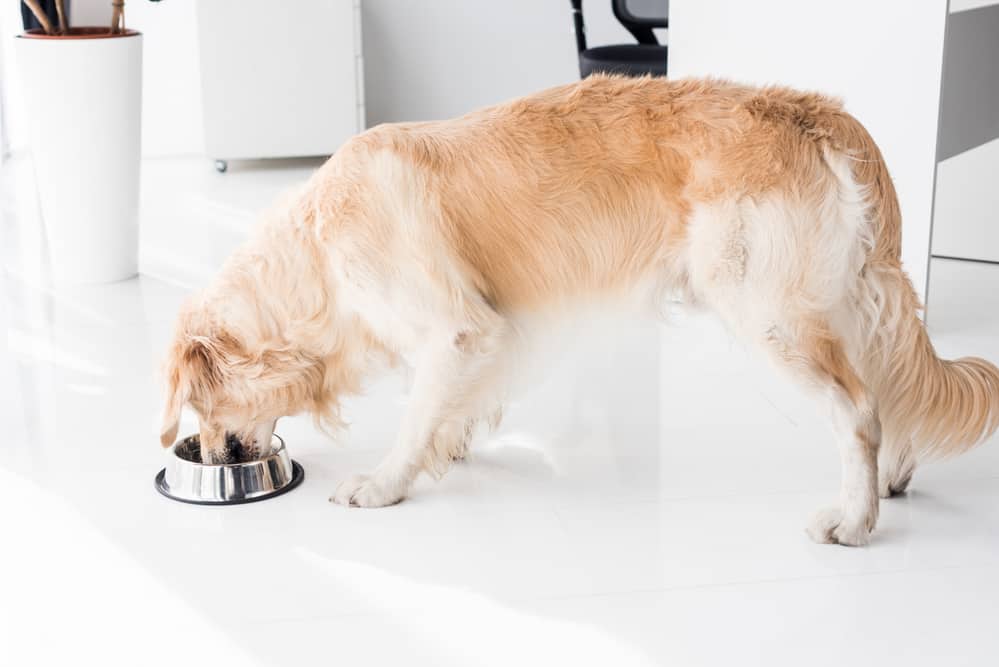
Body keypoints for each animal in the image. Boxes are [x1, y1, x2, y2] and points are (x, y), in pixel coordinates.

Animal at [156, 77, 999, 548]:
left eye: (198, 408)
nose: (204, 455)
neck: (316, 254)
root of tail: (816, 112)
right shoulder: (495, 326)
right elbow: (456, 399)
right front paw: (451, 442)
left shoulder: (454, 323)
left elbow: (417, 410)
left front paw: (386, 481)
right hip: (840, 297)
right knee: (886, 393)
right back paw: (891, 479)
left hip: (768, 309)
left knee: (857, 408)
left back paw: (853, 520)